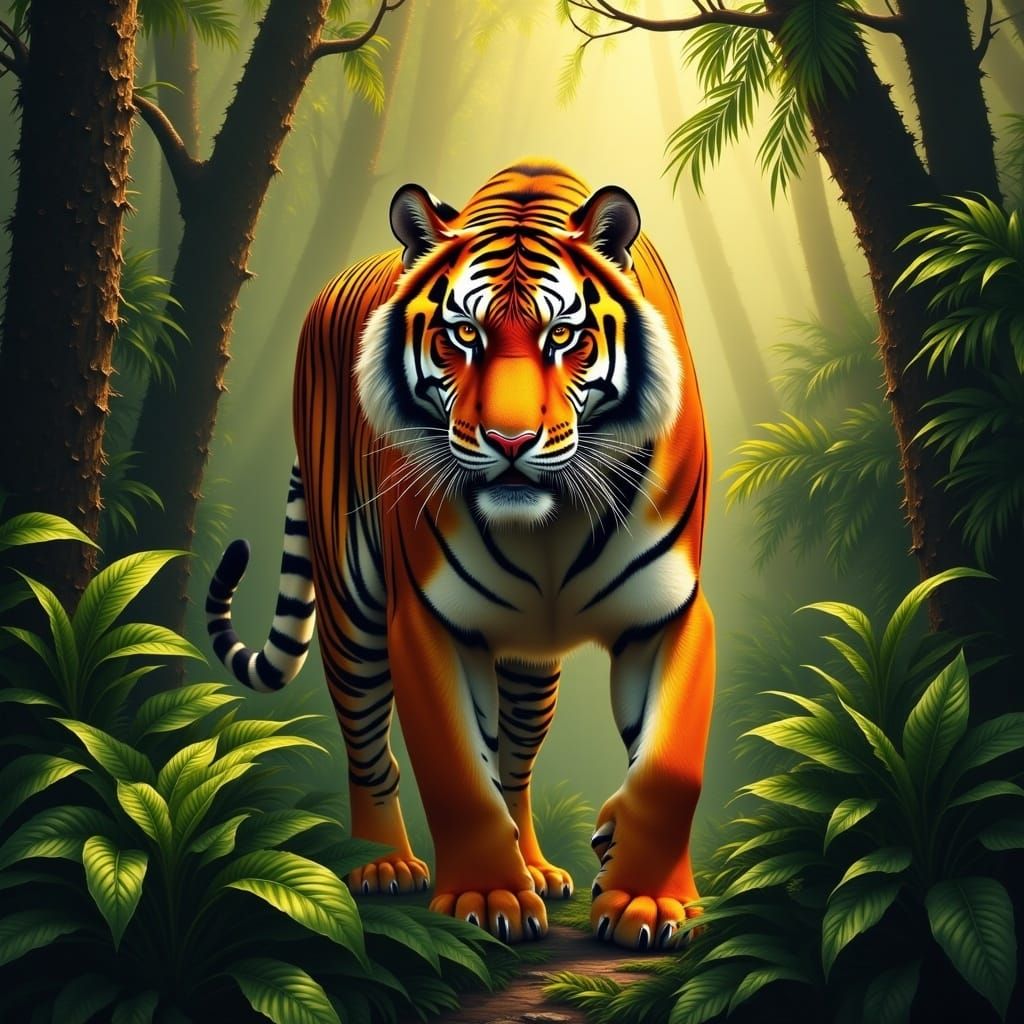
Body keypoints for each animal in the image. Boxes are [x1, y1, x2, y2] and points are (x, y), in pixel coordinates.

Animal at [206, 158, 714, 950]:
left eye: (563, 335)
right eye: (463, 335)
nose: (509, 441)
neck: (551, 522)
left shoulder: (671, 611)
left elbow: (668, 769)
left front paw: (644, 900)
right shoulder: (426, 621)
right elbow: (456, 775)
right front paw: (488, 897)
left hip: (532, 669)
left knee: (516, 762)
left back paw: (537, 865)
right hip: (351, 608)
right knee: (368, 744)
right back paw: (384, 865)